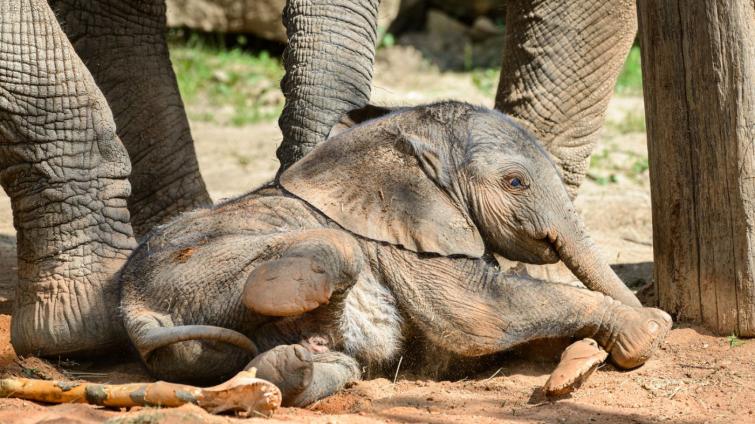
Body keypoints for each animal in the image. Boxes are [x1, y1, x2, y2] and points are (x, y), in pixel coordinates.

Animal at [119, 101, 672, 406]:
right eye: (516, 182)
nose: (665, 317)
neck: (404, 132)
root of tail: (133, 311)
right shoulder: (406, 234)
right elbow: (474, 315)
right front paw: (644, 333)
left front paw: (592, 357)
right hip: (194, 266)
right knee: (339, 251)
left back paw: (291, 368)